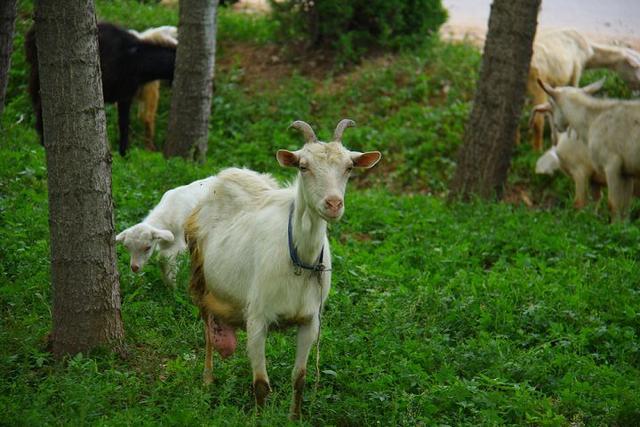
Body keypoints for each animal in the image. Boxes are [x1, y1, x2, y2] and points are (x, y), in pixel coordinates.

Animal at [26, 22, 176, 156]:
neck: (139, 61)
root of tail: (30, 34)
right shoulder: (124, 93)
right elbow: (123, 124)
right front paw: (123, 154)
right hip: (39, 77)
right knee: (40, 108)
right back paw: (42, 144)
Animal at [185, 118, 382, 420]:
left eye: (349, 167)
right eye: (303, 166)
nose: (333, 204)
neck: (299, 259)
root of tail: (224, 176)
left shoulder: (310, 321)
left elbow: (299, 378)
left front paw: (295, 417)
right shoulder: (257, 319)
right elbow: (260, 384)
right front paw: (258, 419)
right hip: (201, 278)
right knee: (206, 330)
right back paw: (207, 380)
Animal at [532, 78, 640, 222]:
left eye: (551, 103)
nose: (557, 129)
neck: (592, 119)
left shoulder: (604, 167)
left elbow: (606, 204)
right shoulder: (625, 172)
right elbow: (622, 209)